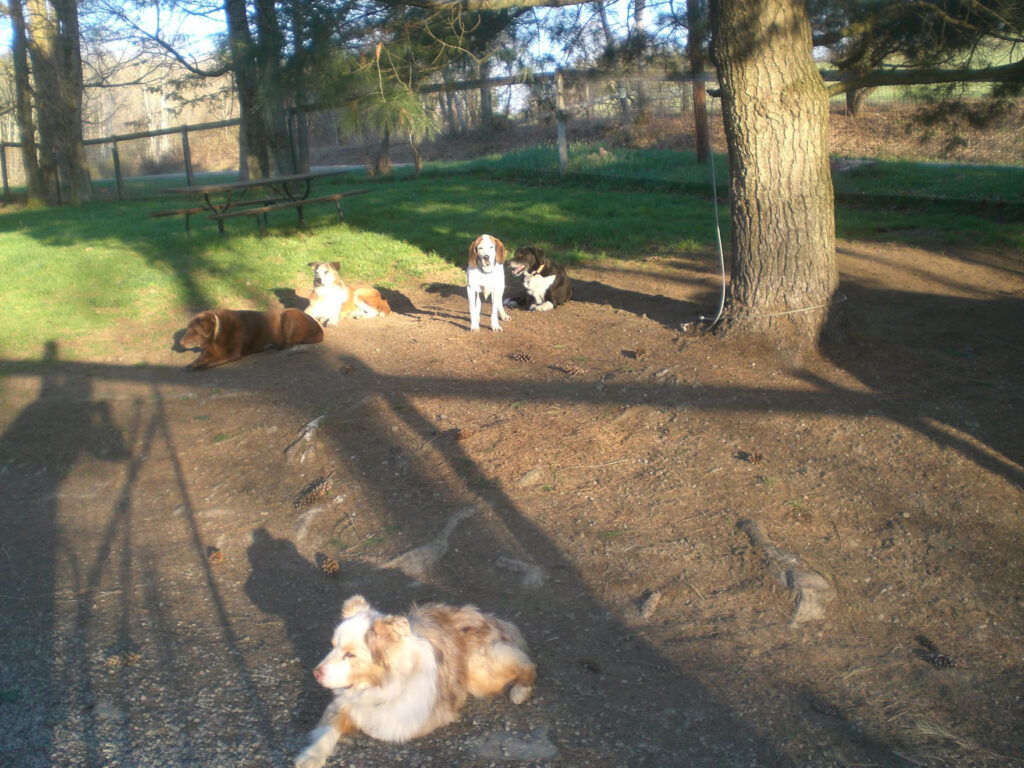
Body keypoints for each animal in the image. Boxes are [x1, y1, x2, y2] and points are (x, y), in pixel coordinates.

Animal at [294, 593, 536, 768]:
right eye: (332, 646)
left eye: (350, 655)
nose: (315, 673)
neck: (379, 685)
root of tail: (488, 617)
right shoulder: (343, 704)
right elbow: (327, 730)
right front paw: (310, 756)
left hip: (479, 669)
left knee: (527, 663)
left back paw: (520, 690)